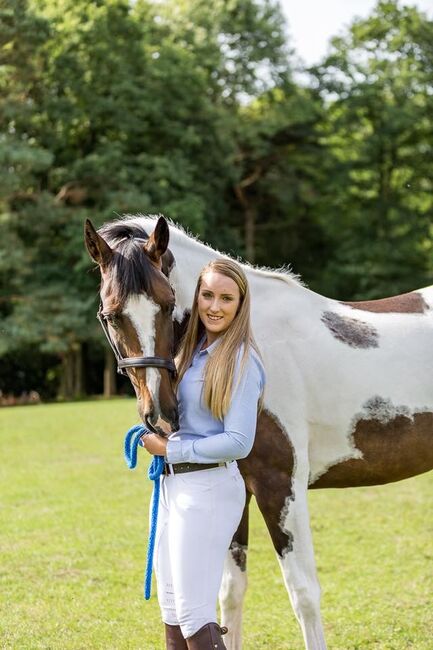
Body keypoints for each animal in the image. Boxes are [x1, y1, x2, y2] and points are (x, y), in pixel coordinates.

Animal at [83, 214, 432, 648]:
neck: (249, 340)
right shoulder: (240, 488)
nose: (161, 415)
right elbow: (230, 593)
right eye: (111, 315)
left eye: (167, 303)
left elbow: (303, 594)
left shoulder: (280, 485)